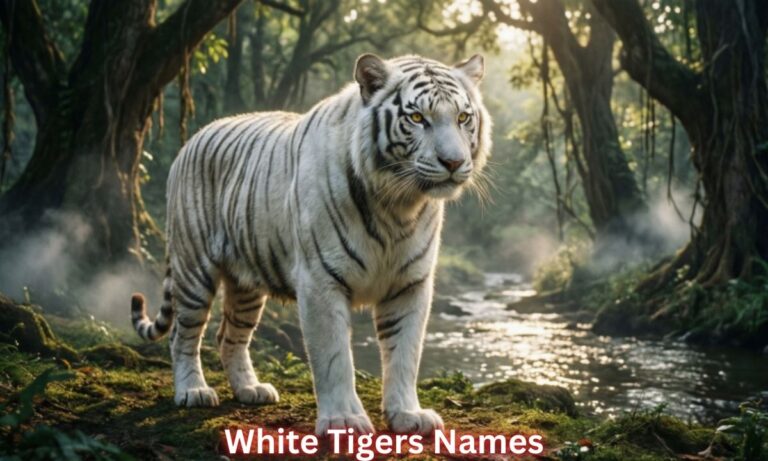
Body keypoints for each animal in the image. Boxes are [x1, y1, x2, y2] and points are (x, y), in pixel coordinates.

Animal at [131, 53, 491, 435]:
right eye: (418, 117)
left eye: (463, 117)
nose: (453, 162)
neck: (398, 206)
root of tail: (193, 138)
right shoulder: (321, 280)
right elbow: (334, 357)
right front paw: (343, 420)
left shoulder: (410, 284)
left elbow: (405, 354)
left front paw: (408, 414)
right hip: (193, 269)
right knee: (183, 334)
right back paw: (193, 391)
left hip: (246, 284)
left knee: (229, 336)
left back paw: (250, 389)